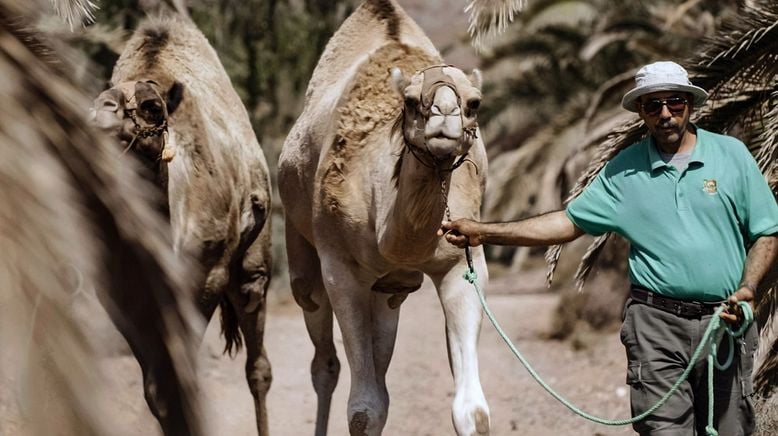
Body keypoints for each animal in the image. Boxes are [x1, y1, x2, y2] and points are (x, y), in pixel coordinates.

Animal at [93, 15, 274, 434]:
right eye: (96, 102)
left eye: (151, 107)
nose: (102, 114)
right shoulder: (119, 293)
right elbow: (158, 391)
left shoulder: (205, 277)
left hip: (252, 264)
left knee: (258, 366)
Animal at [276, 1, 488, 434]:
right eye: (410, 101)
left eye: (474, 103)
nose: (444, 116)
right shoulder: (340, 268)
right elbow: (364, 408)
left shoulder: (462, 262)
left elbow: (473, 411)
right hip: (300, 243)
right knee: (323, 358)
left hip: (391, 288)